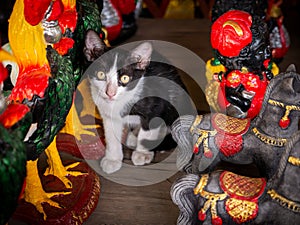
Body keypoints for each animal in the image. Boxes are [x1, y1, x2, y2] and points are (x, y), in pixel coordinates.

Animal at [84, 30, 192, 174]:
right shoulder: (106, 112)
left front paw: (142, 153)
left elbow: (149, 129)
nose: (110, 93)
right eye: (101, 74)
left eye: (125, 78)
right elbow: (111, 135)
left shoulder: (158, 104)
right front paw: (113, 159)